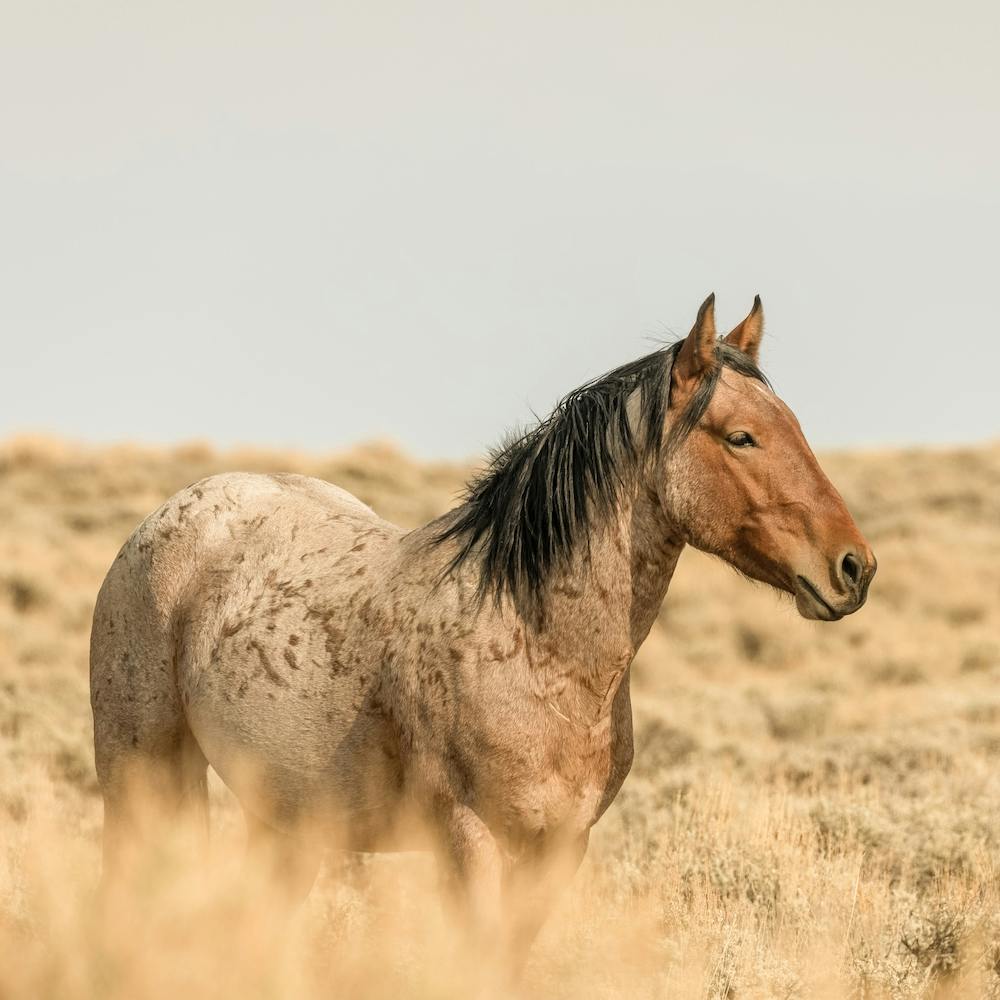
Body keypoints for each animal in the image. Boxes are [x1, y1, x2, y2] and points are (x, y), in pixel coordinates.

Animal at [90, 294, 875, 970]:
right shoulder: (470, 841)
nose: (854, 567)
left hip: (285, 820)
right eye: (742, 437)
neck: (536, 645)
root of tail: (170, 516)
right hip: (143, 780)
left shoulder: (560, 849)